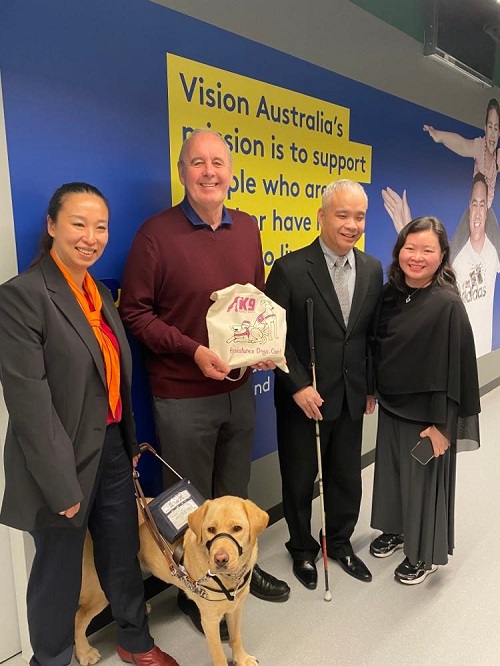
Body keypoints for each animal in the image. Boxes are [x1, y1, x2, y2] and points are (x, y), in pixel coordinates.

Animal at [75, 496, 268, 664]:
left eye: (237, 528)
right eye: (211, 529)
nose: (220, 559)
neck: (230, 579)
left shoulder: (236, 608)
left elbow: (236, 637)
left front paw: (241, 659)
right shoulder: (209, 620)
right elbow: (219, 655)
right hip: (99, 591)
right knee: (78, 618)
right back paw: (84, 653)